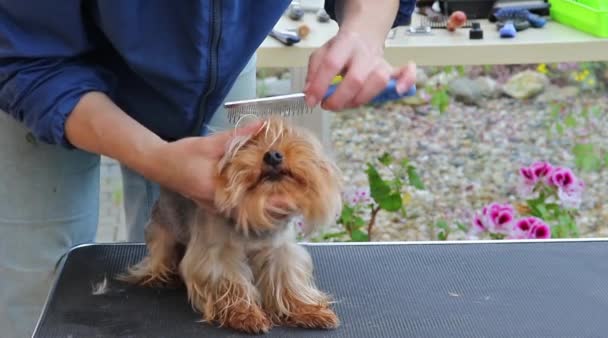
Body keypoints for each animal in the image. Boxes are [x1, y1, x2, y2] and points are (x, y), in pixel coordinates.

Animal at [120, 117, 342, 334]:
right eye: (247, 145)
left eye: (287, 137)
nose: (273, 155)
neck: (254, 213)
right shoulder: (216, 254)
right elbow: (230, 281)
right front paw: (244, 314)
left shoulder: (279, 251)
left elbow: (286, 280)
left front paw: (307, 310)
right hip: (163, 230)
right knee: (158, 258)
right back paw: (162, 275)